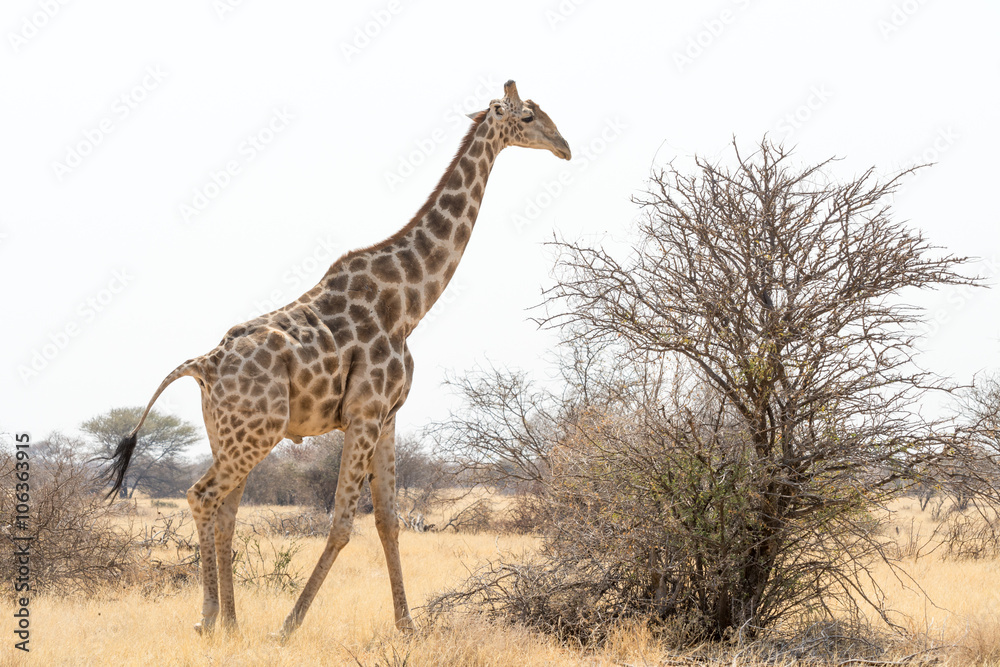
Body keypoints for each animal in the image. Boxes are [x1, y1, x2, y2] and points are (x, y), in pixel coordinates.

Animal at [106, 80, 571, 638]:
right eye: (527, 117)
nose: (565, 147)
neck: (409, 303)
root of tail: (203, 365)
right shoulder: (364, 414)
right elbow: (343, 524)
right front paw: (287, 627)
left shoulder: (388, 416)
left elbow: (389, 521)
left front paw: (407, 627)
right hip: (257, 431)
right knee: (203, 497)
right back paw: (209, 618)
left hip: (228, 433)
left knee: (226, 510)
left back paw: (232, 624)